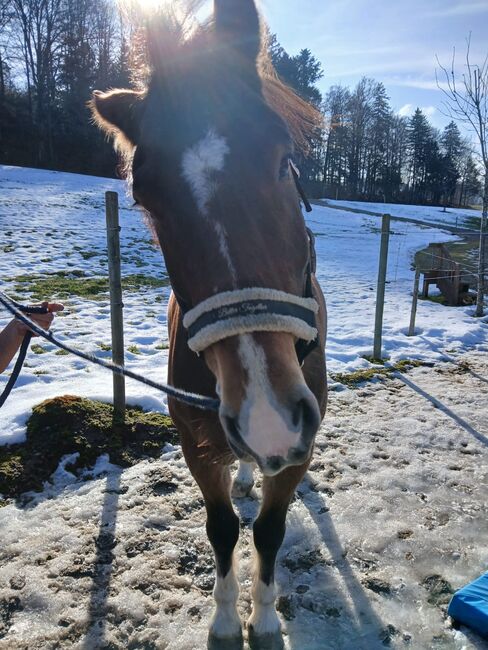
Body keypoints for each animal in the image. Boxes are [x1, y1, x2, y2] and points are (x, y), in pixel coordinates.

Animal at [90, 2, 327, 648]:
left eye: (282, 161)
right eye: (146, 198)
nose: (267, 419)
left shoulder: (300, 440)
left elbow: (269, 529)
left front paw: (263, 619)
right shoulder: (195, 440)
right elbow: (222, 527)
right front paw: (224, 621)